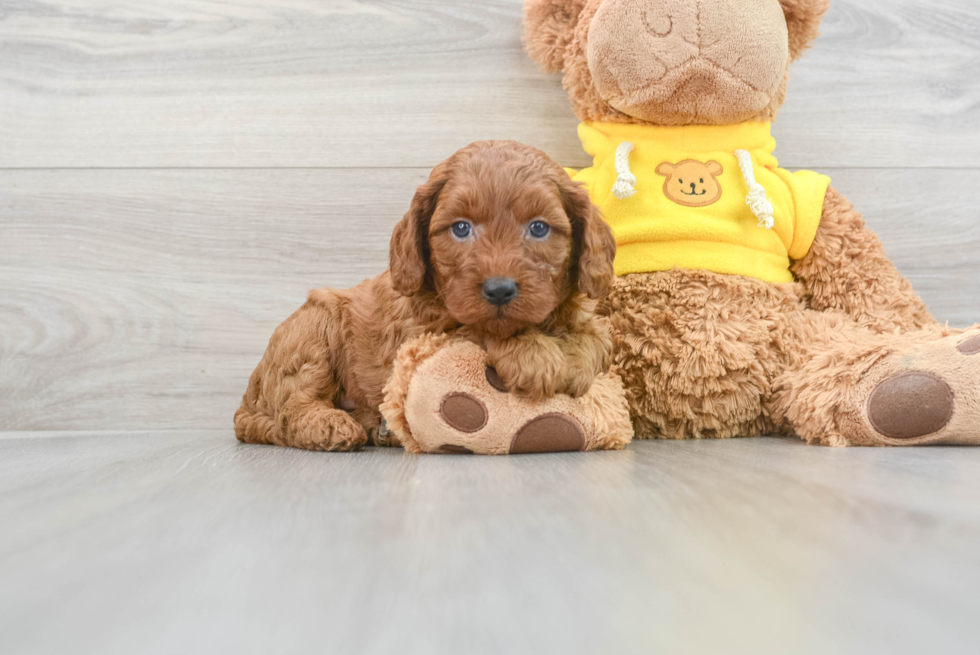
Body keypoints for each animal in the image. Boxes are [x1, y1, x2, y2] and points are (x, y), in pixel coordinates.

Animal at [234, 142, 616, 452]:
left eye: (538, 228)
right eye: (460, 228)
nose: (499, 289)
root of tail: (248, 404)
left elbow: (596, 338)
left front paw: (575, 358)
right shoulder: (420, 332)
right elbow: (474, 329)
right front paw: (535, 356)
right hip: (313, 328)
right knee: (291, 406)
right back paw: (329, 424)